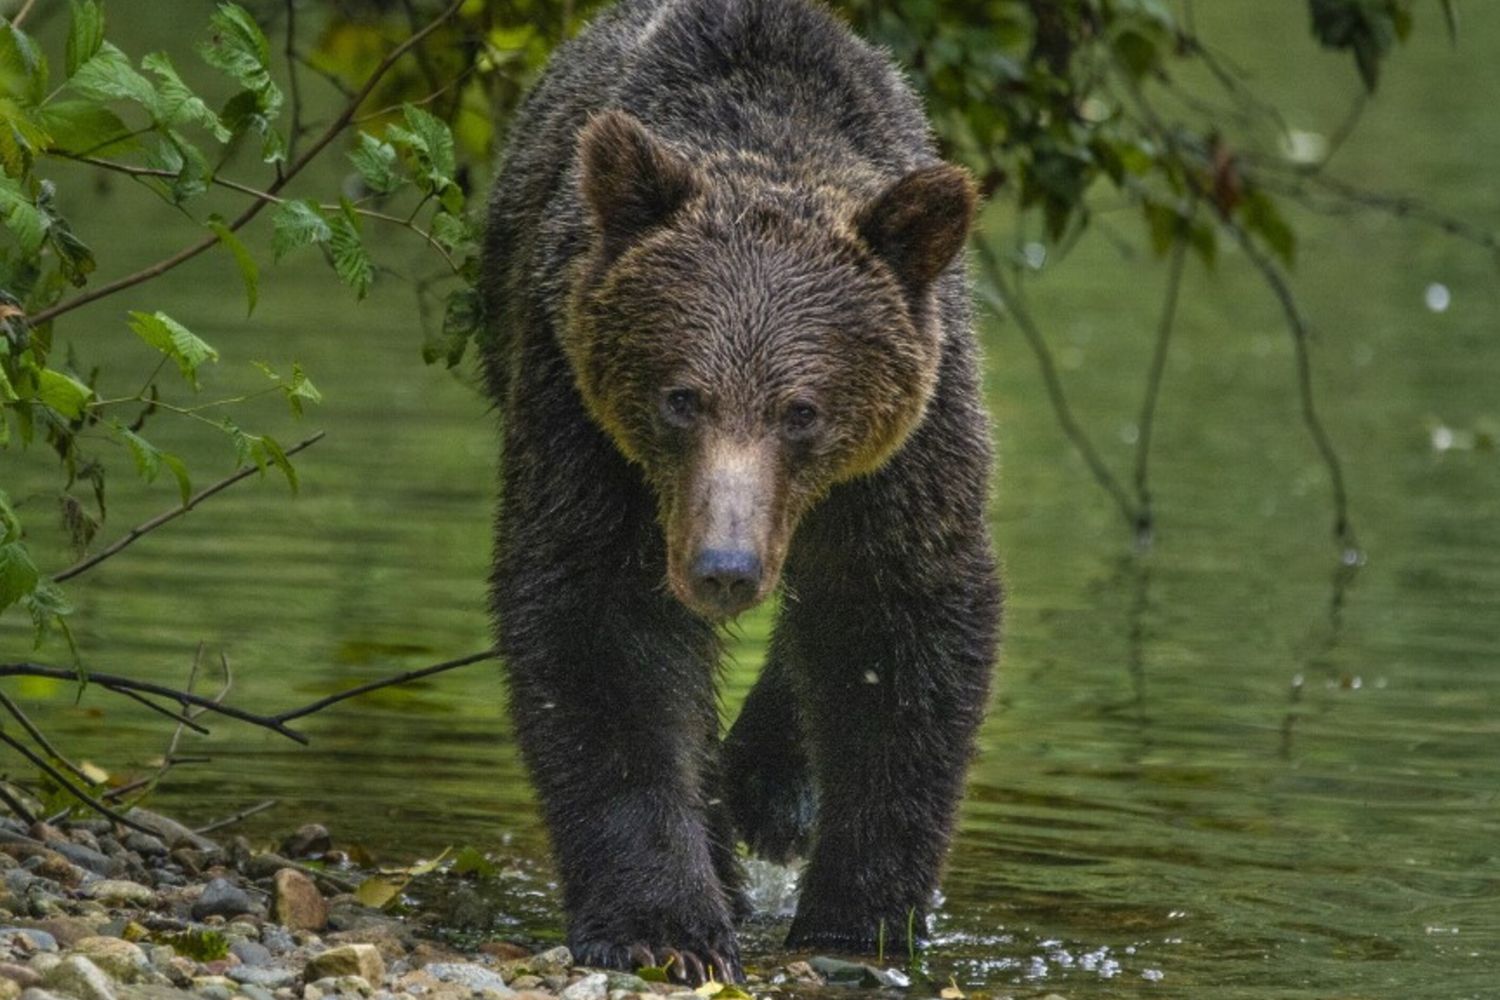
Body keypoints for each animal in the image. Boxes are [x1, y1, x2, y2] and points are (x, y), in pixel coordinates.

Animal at [480, 0, 1001, 984]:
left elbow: (895, 632)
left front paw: (859, 915)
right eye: (682, 396)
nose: (723, 565)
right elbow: (602, 632)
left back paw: (769, 790)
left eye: (803, 411)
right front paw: (664, 922)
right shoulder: (582, 421)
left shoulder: (908, 453)